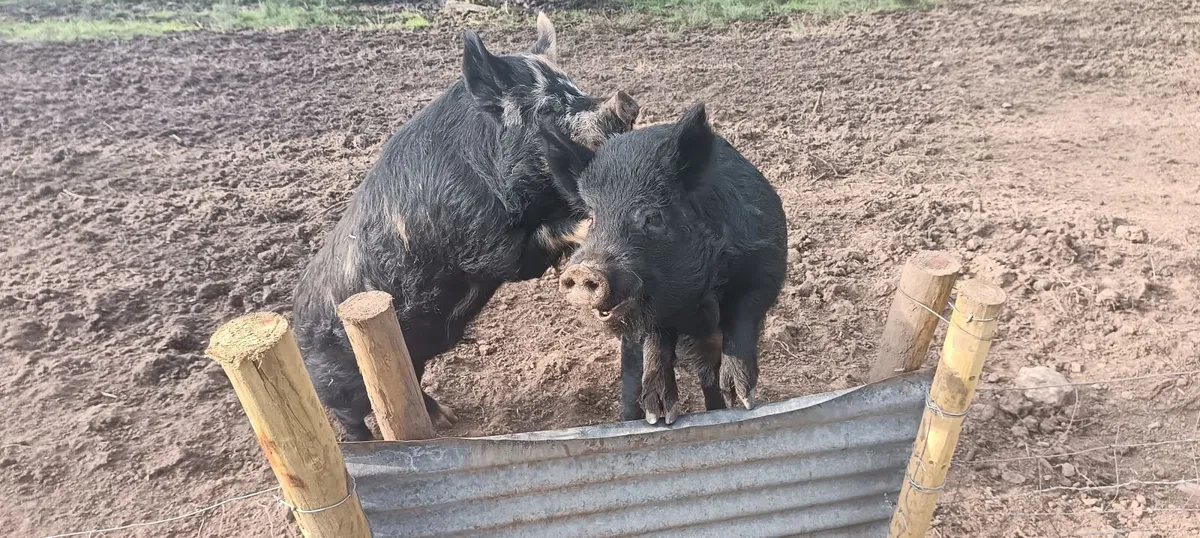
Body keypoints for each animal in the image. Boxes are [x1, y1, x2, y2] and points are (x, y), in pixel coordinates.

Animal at [292, 14, 640, 441]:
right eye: (546, 107)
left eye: (575, 88)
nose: (626, 100)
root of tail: (294, 320)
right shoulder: (486, 249)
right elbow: (526, 249)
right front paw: (588, 223)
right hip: (340, 374)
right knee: (348, 415)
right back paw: (376, 440)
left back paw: (446, 419)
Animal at [546, 103, 786, 424]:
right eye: (593, 217)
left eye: (652, 217)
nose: (583, 270)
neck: (695, 297)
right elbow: (656, 339)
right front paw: (660, 414)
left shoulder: (767, 261)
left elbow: (744, 313)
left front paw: (743, 397)